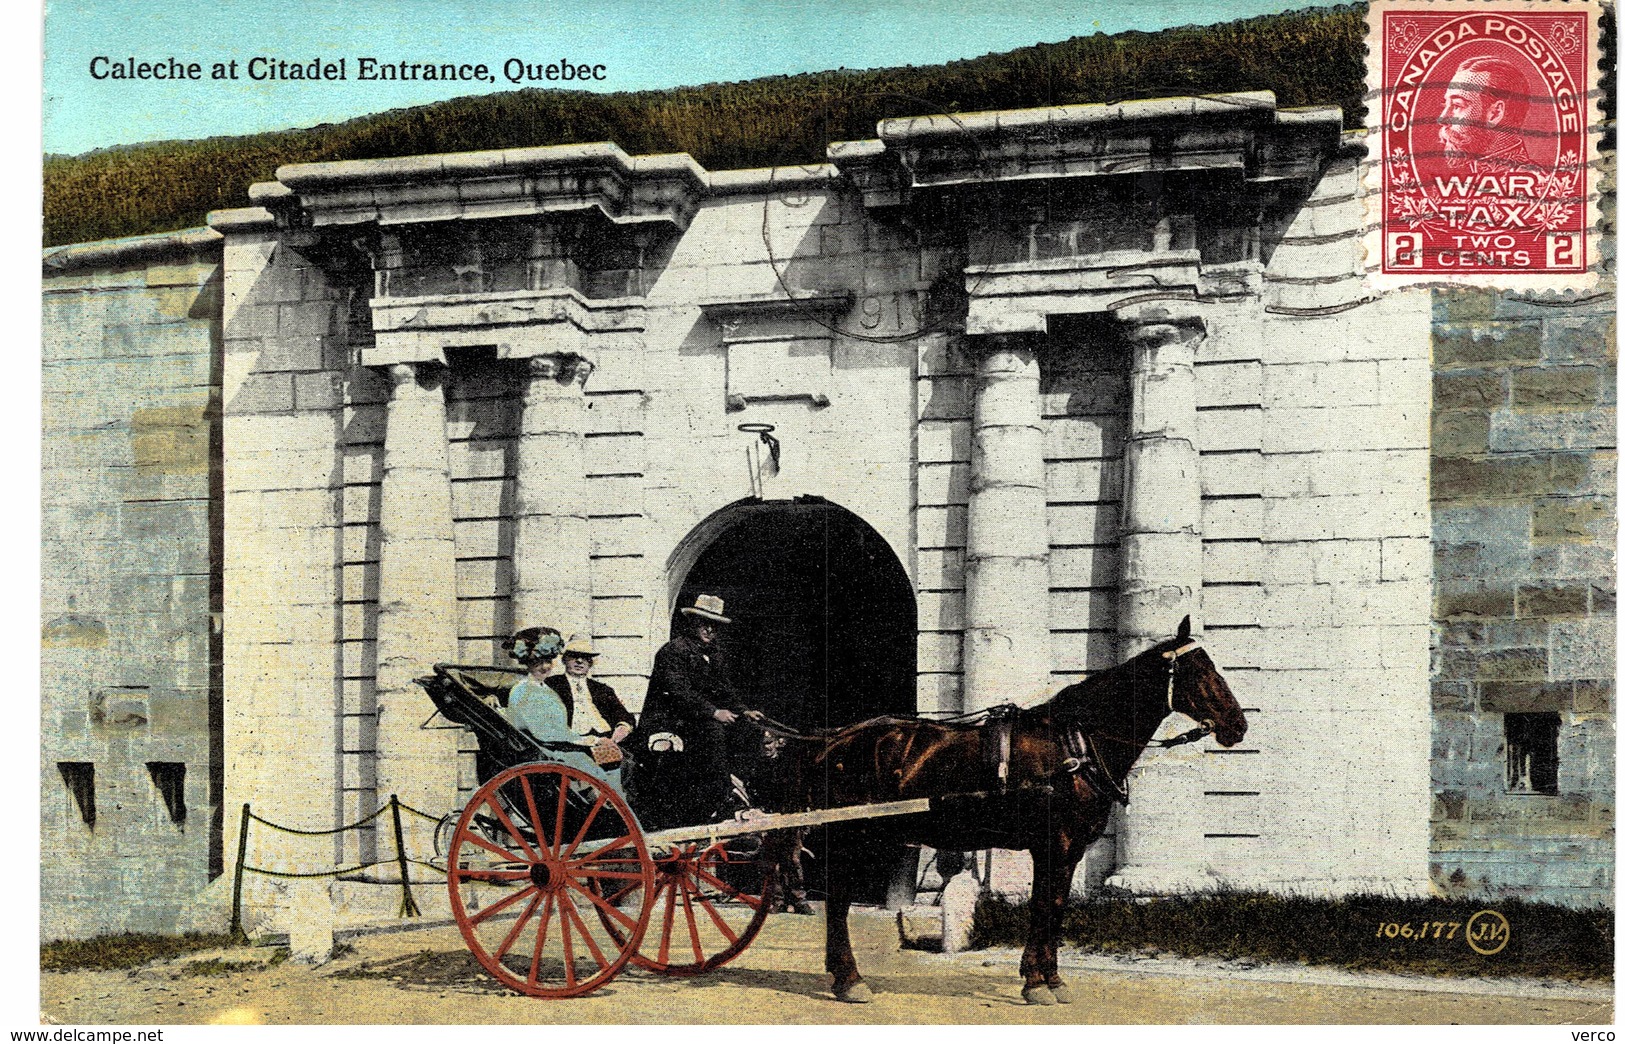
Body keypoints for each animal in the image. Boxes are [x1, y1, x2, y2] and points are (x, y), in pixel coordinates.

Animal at [757, 617, 1241, 1001]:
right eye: (1199, 671)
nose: (1238, 725)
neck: (1075, 745)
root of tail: (835, 739)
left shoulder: (1066, 849)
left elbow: (1054, 905)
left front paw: (1048, 978)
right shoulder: (1055, 844)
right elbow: (1045, 906)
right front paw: (1037, 982)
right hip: (855, 834)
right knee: (838, 900)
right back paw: (850, 979)